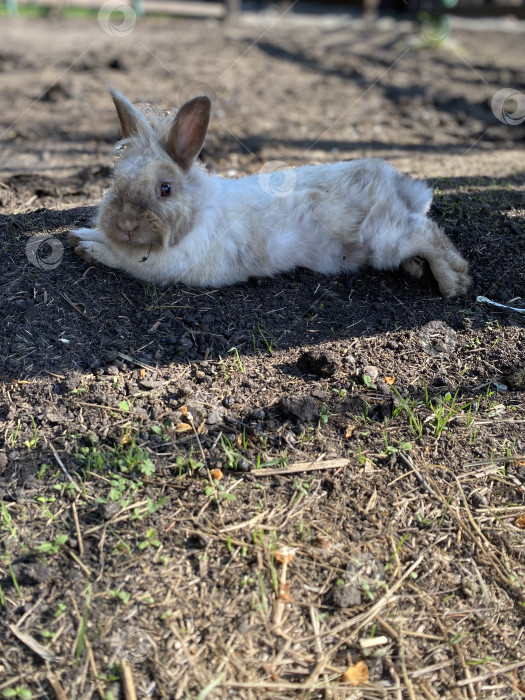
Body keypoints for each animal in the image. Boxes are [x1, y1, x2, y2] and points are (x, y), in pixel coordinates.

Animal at [68, 89, 470, 296]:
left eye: (165, 189)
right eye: (115, 180)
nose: (126, 224)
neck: (197, 212)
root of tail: (393, 180)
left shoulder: (159, 267)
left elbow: (122, 261)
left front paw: (90, 248)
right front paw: (80, 235)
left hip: (385, 236)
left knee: (427, 233)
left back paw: (454, 282)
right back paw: (419, 269)